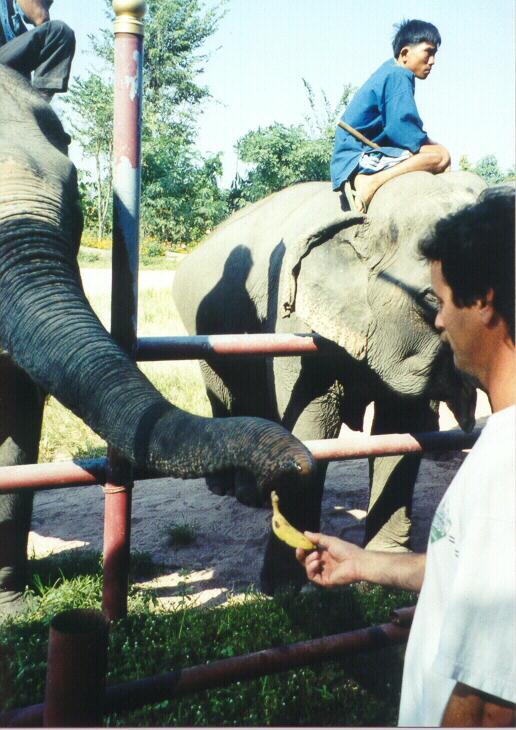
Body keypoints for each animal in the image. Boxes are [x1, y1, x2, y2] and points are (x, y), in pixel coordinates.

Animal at [172, 169, 484, 592]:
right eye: (433, 297)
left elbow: (400, 428)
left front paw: (381, 573)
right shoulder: (294, 322)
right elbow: (312, 426)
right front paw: (287, 588)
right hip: (204, 328)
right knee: (228, 393)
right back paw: (233, 491)